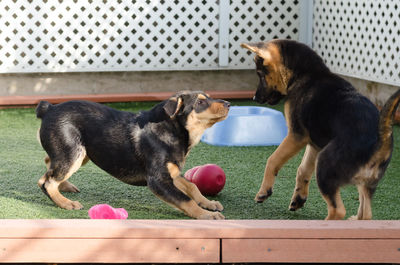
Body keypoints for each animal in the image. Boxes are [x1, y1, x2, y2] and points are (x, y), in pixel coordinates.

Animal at [36, 91, 230, 219]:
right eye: (200, 103)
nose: (228, 104)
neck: (172, 130)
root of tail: (49, 108)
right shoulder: (158, 180)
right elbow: (185, 199)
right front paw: (207, 215)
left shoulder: (172, 173)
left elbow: (192, 187)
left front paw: (209, 204)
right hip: (73, 153)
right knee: (46, 181)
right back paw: (65, 202)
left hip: (80, 152)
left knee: (49, 163)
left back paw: (65, 186)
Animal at [241, 39, 400, 220]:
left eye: (261, 75)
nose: (254, 98)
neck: (307, 73)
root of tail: (381, 136)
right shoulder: (314, 143)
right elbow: (302, 169)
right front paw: (299, 198)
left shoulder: (296, 136)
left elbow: (273, 160)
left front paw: (263, 191)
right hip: (366, 183)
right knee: (366, 213)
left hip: (325, 165)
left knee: (338, 210)